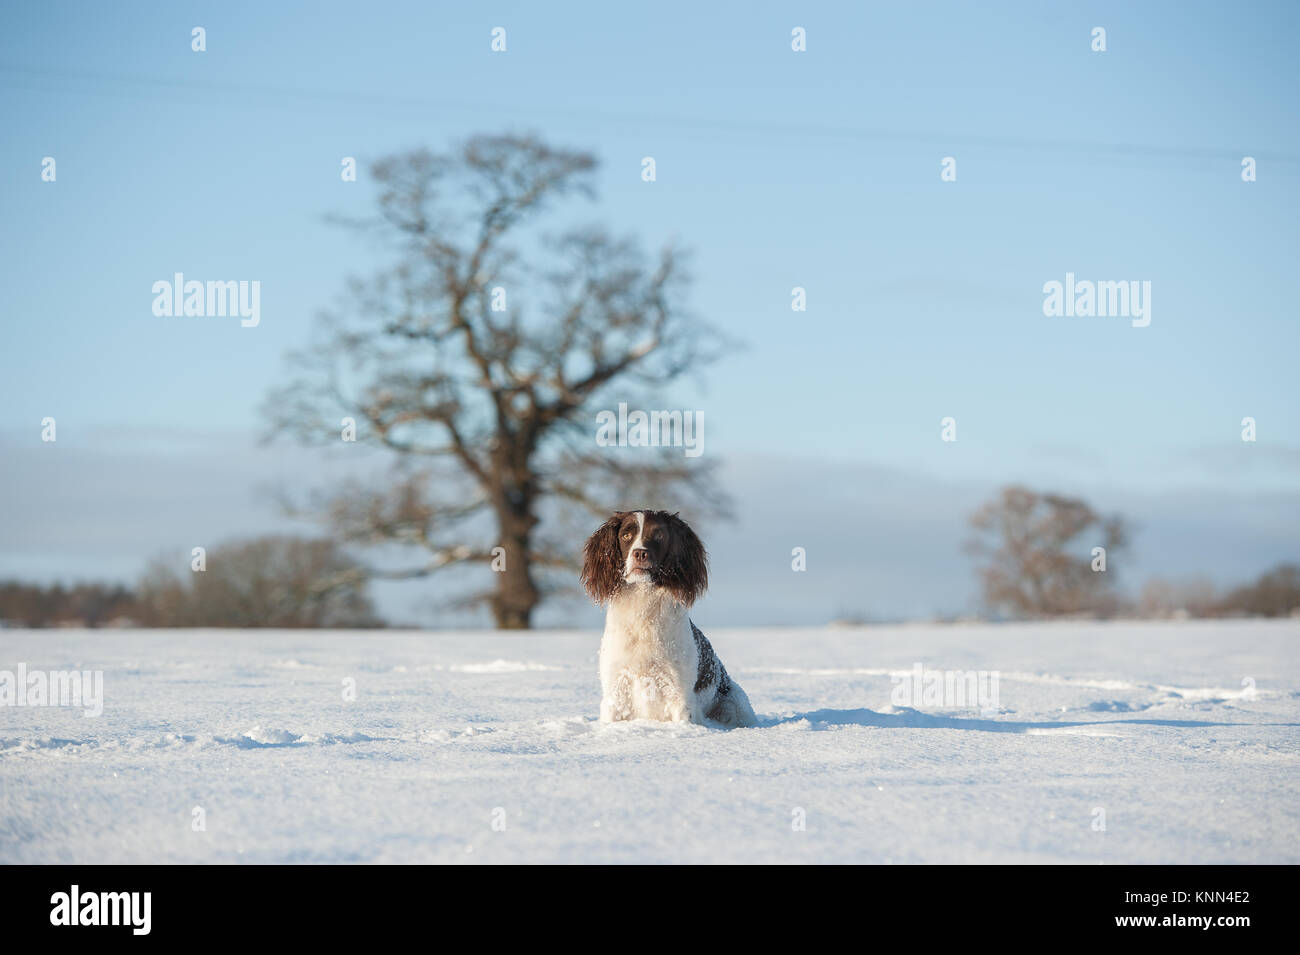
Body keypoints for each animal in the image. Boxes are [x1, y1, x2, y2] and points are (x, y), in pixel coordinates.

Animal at [582, 511, 759, 727]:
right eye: (626, 535)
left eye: (659, 535)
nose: (640, 553)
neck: (643, 610)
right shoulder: (616, 688)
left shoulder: (678, 691)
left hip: (734, 705)